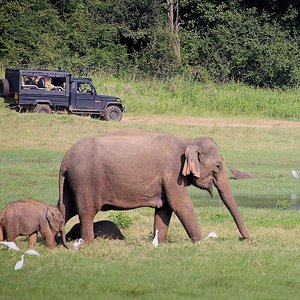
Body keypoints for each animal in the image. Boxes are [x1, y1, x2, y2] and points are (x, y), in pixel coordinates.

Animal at [57, 131, 250, 244]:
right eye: (218, 165)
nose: (246, 238)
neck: (187, 141)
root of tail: (66, 158)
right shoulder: (172, 173)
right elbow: (180, 205)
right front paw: (199, 242)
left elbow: (164, 209)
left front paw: (160, 242)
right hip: (86, 180)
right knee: (86, 211)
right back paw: (88, 242)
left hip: (72, 183)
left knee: (64, 209)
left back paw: (57, 242)